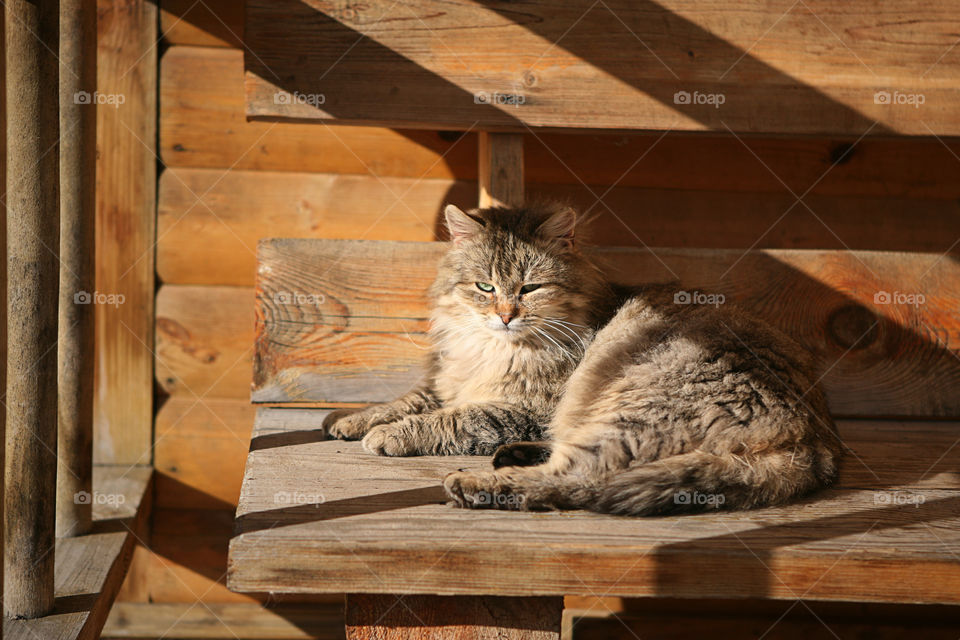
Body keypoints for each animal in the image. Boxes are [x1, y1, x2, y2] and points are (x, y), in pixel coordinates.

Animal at [326, 204, 844, 516]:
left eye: (530, 288)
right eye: (484, 287)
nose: (505, 315)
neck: (494, 350)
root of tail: (813, 441)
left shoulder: (525, 408)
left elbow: (452, 418)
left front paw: (388, 435)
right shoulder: (447, 381)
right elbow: (411, 400)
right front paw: (352, 419)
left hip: (624, 403)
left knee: (582, 479)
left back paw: (480, 485)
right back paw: (509, 460)